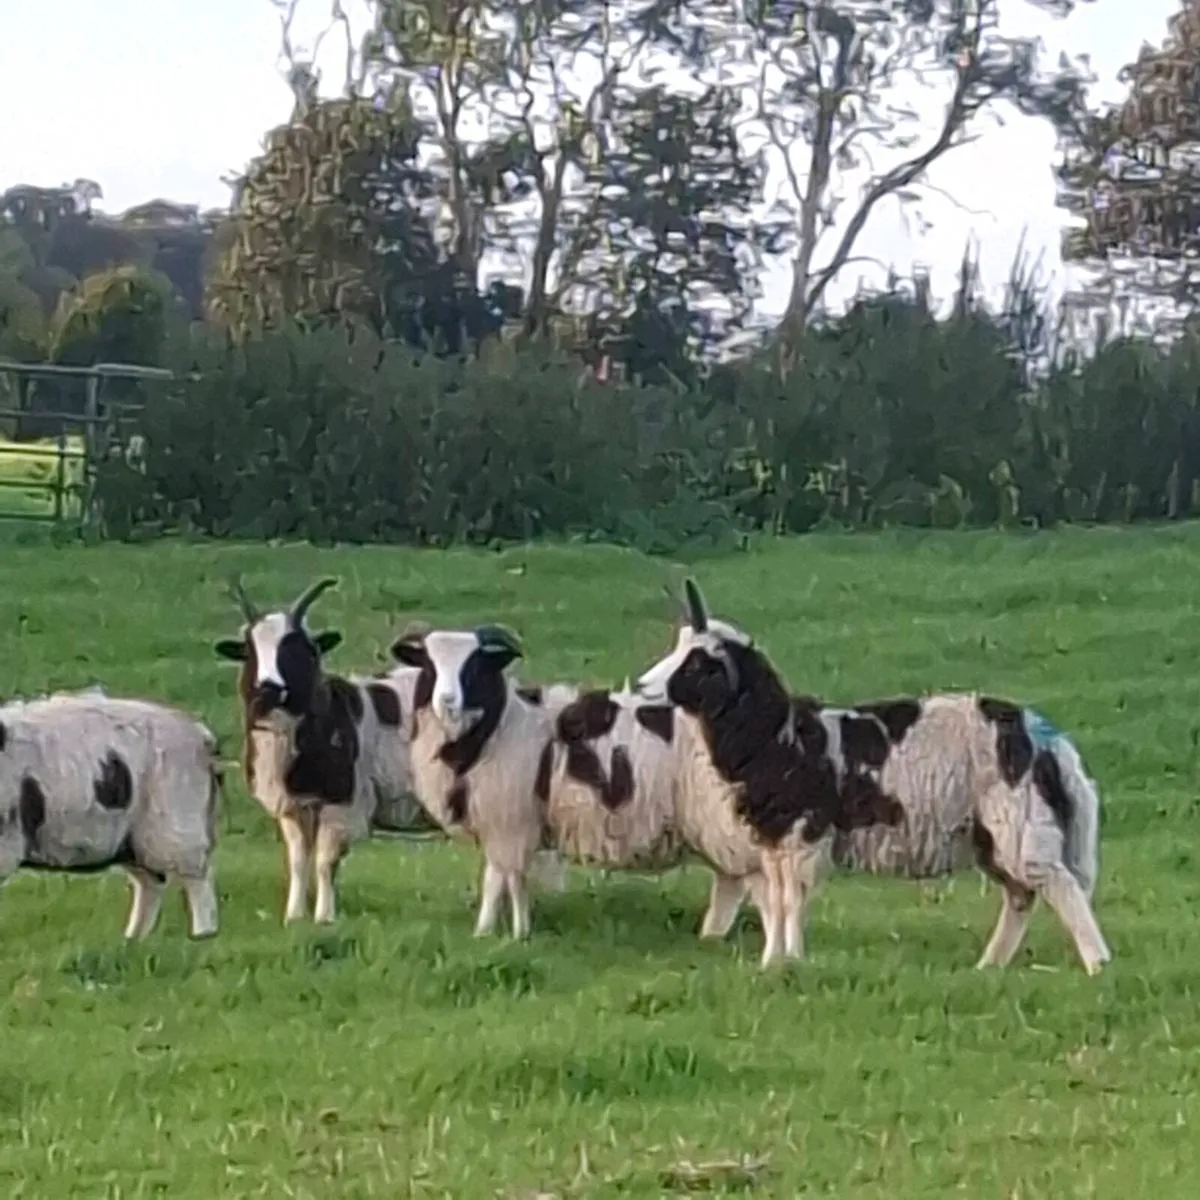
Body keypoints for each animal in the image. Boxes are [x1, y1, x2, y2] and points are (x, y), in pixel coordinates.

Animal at [0, 690, 221, 939]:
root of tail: (200, 734)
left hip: (176, 819)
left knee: (196, 878)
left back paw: (202, 936)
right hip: (136, 837)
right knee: (150, 882)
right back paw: (134, 940)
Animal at [212, 575, 433, 925]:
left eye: (298, 648)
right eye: (248, 650)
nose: (268, 690)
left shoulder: (341, 802)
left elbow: (325, 861)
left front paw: (324, 917)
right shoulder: (293, 807)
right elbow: (298, 860)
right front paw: (293, 915)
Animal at [389, 622, 578, 938]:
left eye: (473, 665)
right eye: (429, 664)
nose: (447, 700)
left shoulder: (512, 820)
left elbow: (511, 879)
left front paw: (520, 933)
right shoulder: (496, 820)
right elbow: (495, 877)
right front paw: (485, 931)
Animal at [635, 578, 1112, 975]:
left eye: (697, 662)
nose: (640, 687)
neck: (779, 737)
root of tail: (1046, 737)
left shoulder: (803, 833)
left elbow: (791, 899)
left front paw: (790, 961)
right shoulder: (775, 839)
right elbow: (777, 899)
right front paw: (774, 963)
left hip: (1020, 817)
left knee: (1060, 885)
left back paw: (1097, 966)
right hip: (991, 830)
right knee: (1021, 895)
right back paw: (989, 966)